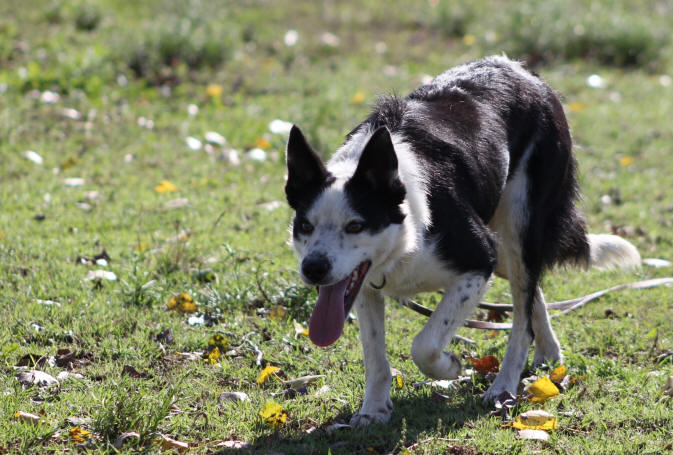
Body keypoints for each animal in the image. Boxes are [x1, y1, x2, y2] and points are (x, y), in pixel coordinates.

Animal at [280, 57, 636, 428]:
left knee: (522, 316)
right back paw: (549, 351)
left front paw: (449, 367)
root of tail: (524, 71)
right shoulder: (364, 283)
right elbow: (375, 355)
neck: (406, 233)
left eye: (355, 225)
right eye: (305, 225)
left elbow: (424, 345)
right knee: (530, 291)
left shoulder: (479, 262)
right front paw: (374, 410)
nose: (313, 269)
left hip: (519, 224)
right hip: (503, 241)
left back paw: (503, 386)